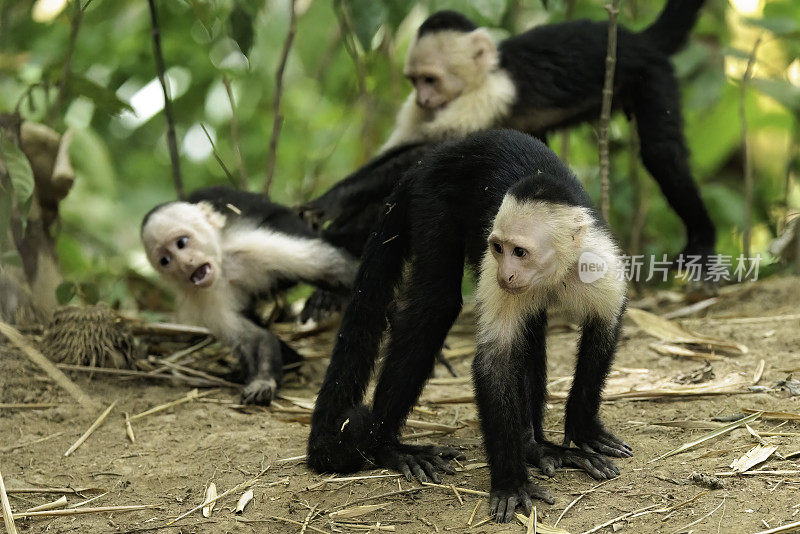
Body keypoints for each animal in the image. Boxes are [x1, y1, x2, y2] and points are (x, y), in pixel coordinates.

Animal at [141, 186, 360, 404]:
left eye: (182, 243)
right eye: (165, 260)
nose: (185, 264)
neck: (224, 266)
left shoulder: (254, 248)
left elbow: (336, 271)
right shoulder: (205, 296)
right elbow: (255, 338)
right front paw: (263, 382)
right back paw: (291, 361)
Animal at [310, 130, 628, 524]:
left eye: (519, 252)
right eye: (499, 248)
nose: (506, 273)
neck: (555, 271)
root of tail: (437, 154)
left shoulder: (598, 262)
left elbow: (603, 329)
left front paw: (584, 431)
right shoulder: (493, 270)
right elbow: (495, 362)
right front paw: (511, 483)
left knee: (530, 329)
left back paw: (537, 446)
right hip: (433, 195)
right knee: (435, 304)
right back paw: (389, 448)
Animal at [384, 1, 716, 266]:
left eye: (431, 80)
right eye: (415, 81)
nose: (423, 100)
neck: (489, 73)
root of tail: (638, 39)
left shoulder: (490, 95)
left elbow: (440, 149)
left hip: (651, 73)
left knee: (662, 152)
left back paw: (703, 240)